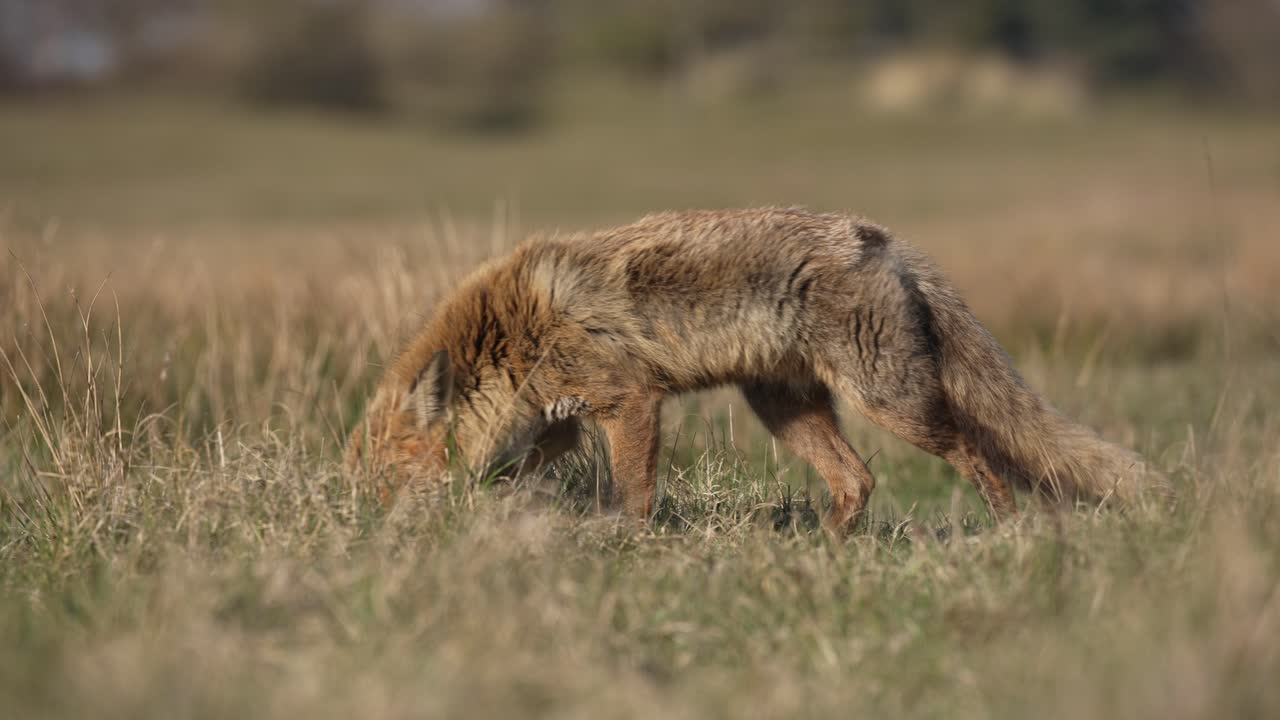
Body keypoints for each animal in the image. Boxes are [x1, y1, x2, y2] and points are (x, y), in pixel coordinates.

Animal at [345, 207, 1164, 532]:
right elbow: (522, 476)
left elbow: (635, 498)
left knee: (977, 455)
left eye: (388, 480)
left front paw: (627, 548)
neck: (511, 339)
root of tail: (882, 239)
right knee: (857, 481)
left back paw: (1009, 532)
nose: (366, 532)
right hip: (785, 410)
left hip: (891, 402)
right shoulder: (561, 427)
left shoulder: (629, 402)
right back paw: (827, 555)